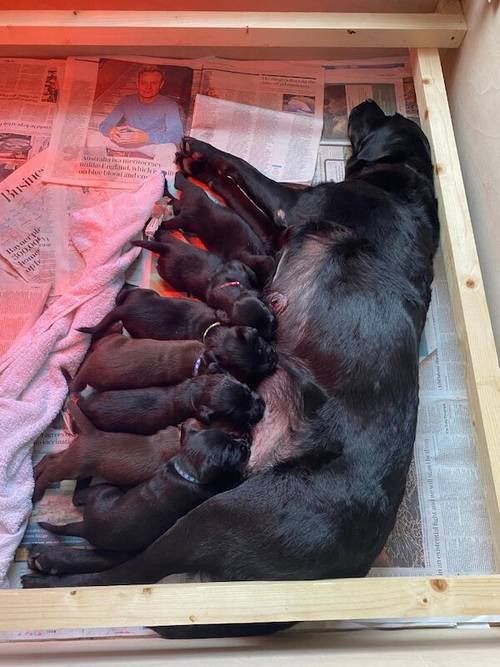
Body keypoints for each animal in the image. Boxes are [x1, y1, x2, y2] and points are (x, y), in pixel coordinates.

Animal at [135, 239, 278, 340]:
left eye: (265, 309)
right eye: (255, 329)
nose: (273, 330)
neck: (228, 290)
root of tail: (167, 248)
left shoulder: (239, 266)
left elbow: (253, 276)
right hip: (169, 275)